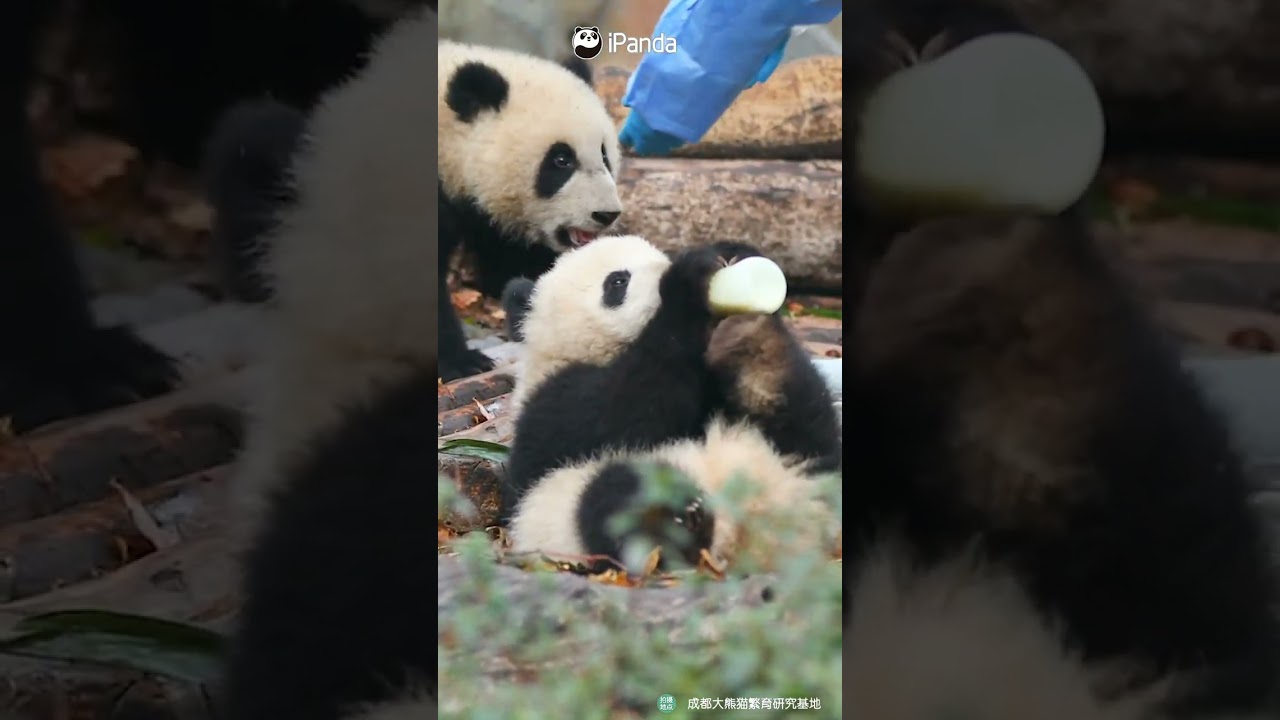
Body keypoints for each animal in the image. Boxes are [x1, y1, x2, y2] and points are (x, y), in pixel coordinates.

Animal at [499, 235, 843, 573]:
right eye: (617, 281)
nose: (667, 270)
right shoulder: (550, 403)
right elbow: (623, 407)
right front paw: (687, 283)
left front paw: (736, 255)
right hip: (563, 503)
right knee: (618, 496)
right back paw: (682, 520)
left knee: (808, 434)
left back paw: (755, 341)